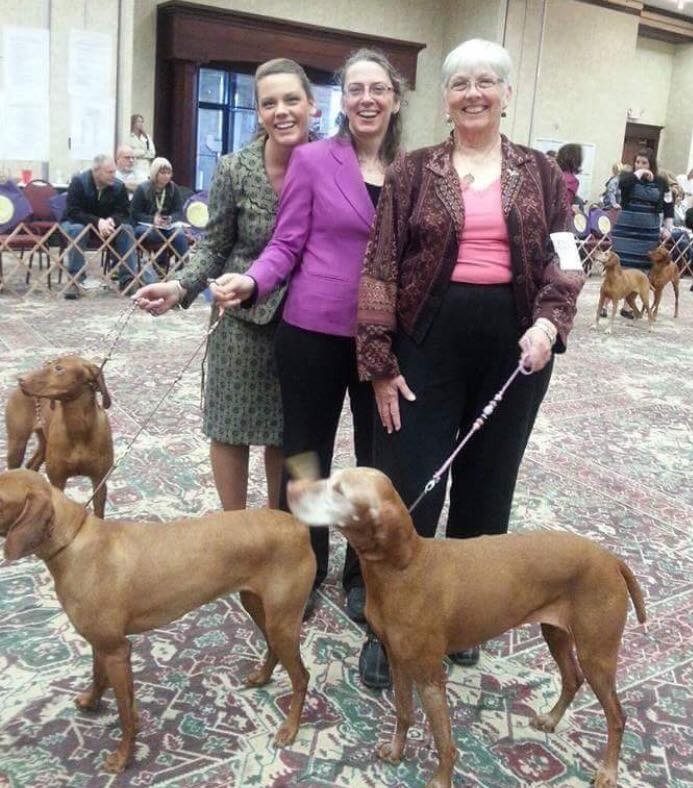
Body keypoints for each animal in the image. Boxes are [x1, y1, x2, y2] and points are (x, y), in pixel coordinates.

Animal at [0, 470, 314, 772]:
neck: (73, 543)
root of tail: (298, 526)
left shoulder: (117, 651)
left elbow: (126, 714)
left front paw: (123, 757)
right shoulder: (100, 643)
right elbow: (97, 676)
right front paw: (92, 701)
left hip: (282, 621)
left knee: (301, 677)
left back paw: (290, 728)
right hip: (259, 608)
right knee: (273, 648)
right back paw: (262, 677)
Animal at [4, 356, 113, 516]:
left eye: (59, 368)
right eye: (48, 364)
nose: (21, 380)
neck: (78, 427)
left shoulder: (99, 481)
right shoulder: (58, 480)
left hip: (44, 445)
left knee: (32, 465)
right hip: (17, 445)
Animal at [286, 468, 644, 788]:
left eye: (339, 490)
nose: (292, 487)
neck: (404, 568)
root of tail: (612, 559)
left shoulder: (431, 678)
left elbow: (445, 742)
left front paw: (441, 780)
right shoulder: (398, 664)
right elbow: (404, 714)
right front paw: (398, 751)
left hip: (596, 654)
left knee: (617, 716)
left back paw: (608, 772)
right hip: (556, 635)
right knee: (572, 679)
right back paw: (552, 719)